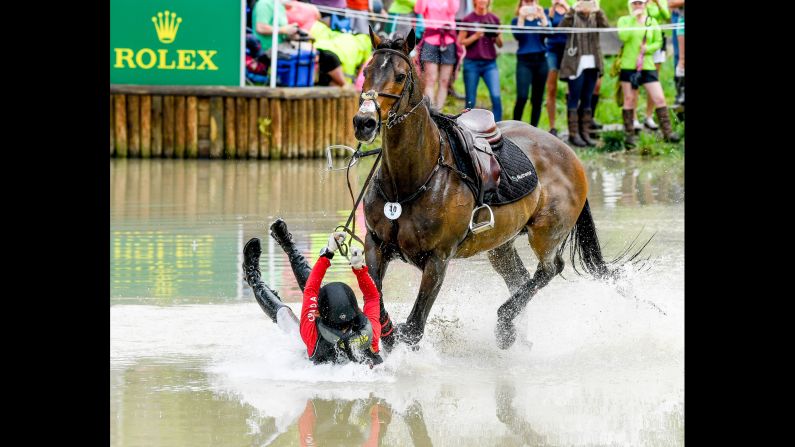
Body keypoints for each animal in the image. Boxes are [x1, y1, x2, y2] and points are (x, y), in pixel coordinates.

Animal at [354, 30, 648, 354]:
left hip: (546, 233)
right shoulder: (376, 244)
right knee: (520, 277)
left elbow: (416, 325)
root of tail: (568, 151)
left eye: (400, 75)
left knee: (549, 269)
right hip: (501, 243)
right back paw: (517, 332)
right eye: (366, 71)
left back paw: (505, 323)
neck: (409, 181)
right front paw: (384, 336)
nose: (364, 122)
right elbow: (376, 300)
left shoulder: (437, 259)